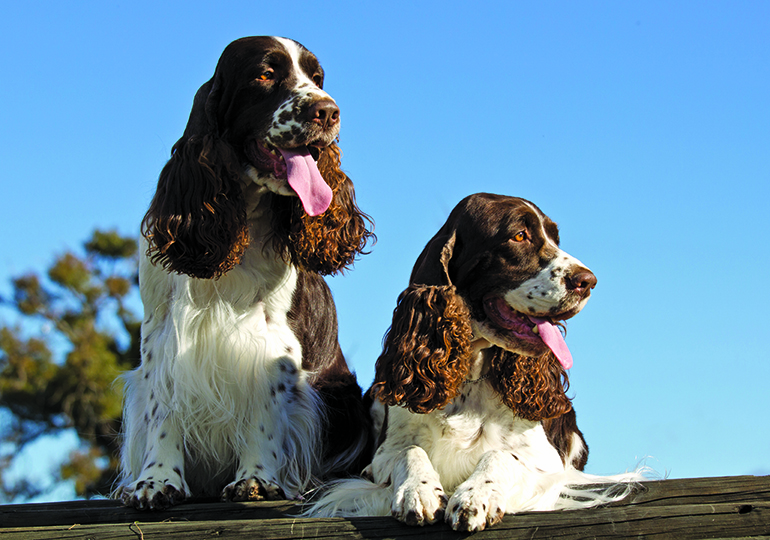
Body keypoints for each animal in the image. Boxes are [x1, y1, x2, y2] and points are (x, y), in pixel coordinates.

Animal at [115, 35, 376, 508]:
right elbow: (164, 405)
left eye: (317, 78)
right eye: (266, 74)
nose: (328, 111)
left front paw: (256, 479)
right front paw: (156, 481)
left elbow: (266, 408)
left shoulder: (273, 337)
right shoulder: (162, 333)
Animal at [306, 194, 636, 532]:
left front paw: (476, 495)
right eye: (519, 236)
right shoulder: (379, 459)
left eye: (555, 239)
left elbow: (502, 455)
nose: (588, 281)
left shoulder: (548, 463)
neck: (470, 375)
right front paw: (419, 491)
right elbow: (409, 450)